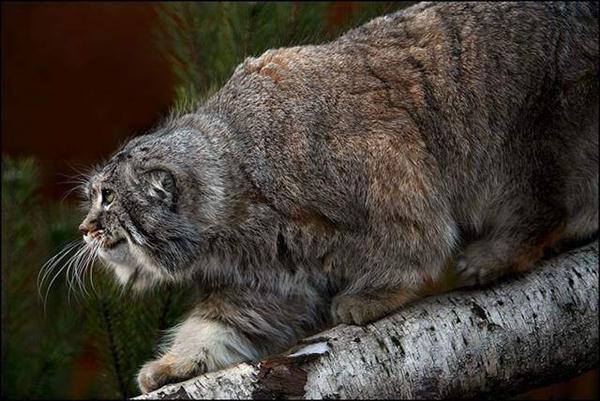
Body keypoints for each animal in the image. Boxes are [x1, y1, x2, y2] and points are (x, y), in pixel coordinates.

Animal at [70, 1, 597, 393]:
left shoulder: (393, 169)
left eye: (108, 198)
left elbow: (416, 241)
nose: (84, 228)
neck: (239, 200)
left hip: (527, 138)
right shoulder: (267, 282)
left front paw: (374, 294)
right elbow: (219, 327)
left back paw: (499, 254)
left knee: (541, 202)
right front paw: (176, 364)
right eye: (94, 197)